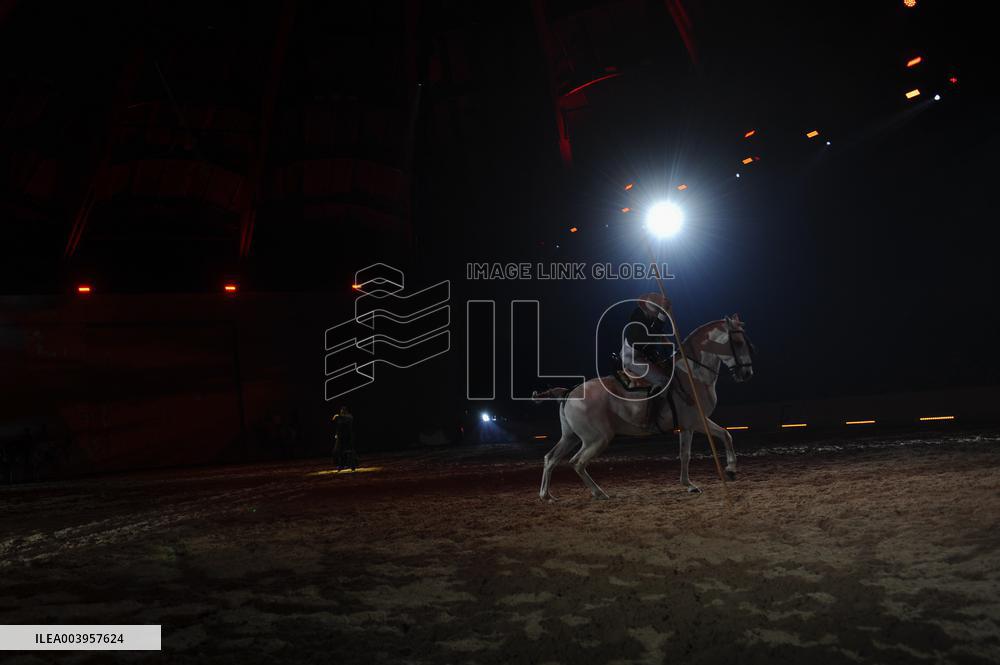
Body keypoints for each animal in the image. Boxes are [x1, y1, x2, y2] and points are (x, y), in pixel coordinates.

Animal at [532, 314, 754, 500]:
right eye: (738, 342)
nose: (747, 374)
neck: (691, 374)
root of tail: (570, 392)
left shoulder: (694, 423)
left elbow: (720, 437)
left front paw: (725, 472)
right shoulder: (694, 422)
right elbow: (694, 450)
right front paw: (707, 478)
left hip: (570, 437)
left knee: (550, 458)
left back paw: (546, 495)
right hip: (596, 439)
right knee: (577, 462)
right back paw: (599, 492)